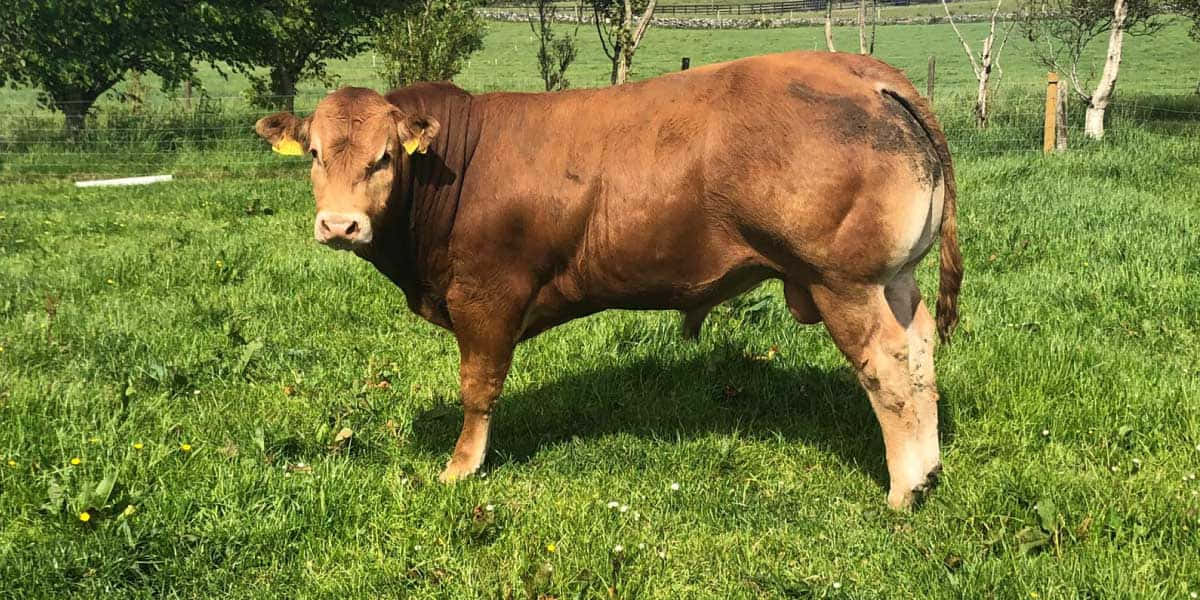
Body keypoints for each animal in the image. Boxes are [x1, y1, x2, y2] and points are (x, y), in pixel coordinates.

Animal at [254, 50, 962, 509]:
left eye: (384, 157)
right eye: (315, 153)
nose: (339, 225)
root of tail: (860, 70)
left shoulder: (484, 296)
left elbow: (477, 390)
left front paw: (461, 468)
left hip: (843, 282)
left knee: (887, 367)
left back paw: (904, 489)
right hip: (895, 279)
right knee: (920, 347)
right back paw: (929, 469)